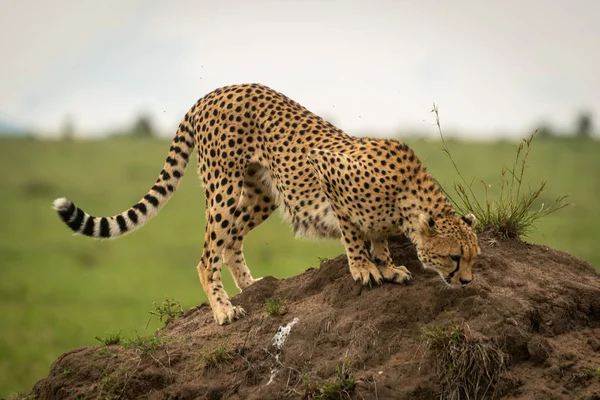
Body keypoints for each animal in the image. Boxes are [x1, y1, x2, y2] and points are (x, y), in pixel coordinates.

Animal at [52, 83, 482, 324]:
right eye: (454, 257)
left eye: (473, 258)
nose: (467, 282)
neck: (408, 195)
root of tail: (214, 92)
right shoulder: (326, 173)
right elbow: (354, 234)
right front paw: (364, 269)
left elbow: (378, 236)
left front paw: (388, 266)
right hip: (223, 188)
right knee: (207, 256)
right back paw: (224, 310)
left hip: (261, 193)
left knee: (230, 242)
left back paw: (252, 286)